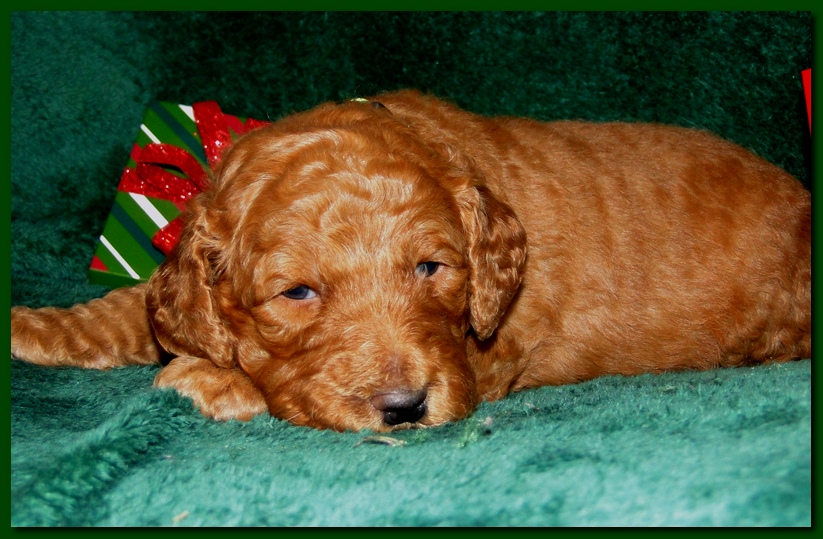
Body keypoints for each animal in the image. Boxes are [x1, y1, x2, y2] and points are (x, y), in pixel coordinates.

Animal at [11, 90, 811, 432]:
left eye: (432, 268)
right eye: (297, 292)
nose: (402, 408)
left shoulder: (491, 348)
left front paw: (211, 377)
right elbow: (135, 308)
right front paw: (34, 325)